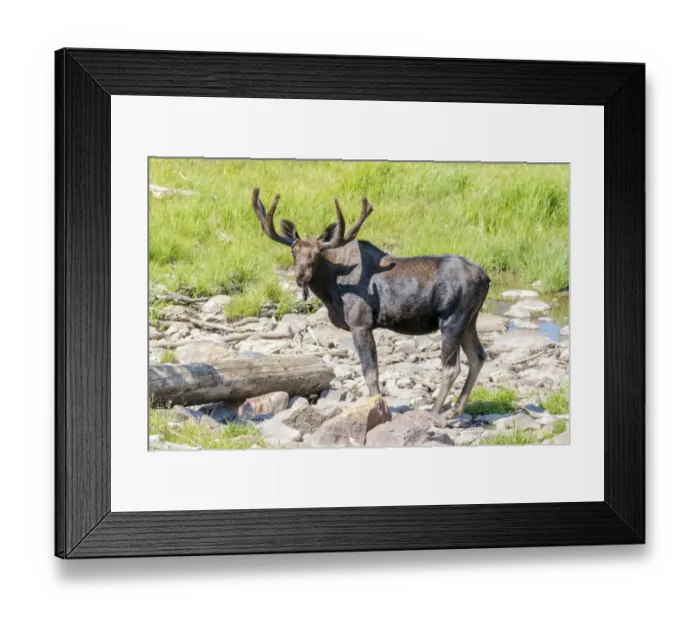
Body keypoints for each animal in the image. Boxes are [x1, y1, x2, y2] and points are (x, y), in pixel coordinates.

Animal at [251, 187, 491, 419]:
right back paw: (454, 409)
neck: (330, 288)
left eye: (317, 254)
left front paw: (380, 409)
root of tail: (486, 277)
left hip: (452, 320)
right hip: (470, 320)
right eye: (293, 251)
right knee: (478, 356)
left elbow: (371, 374)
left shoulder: (360, 323)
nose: (301, 276)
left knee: (452, 367)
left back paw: (435, 411)